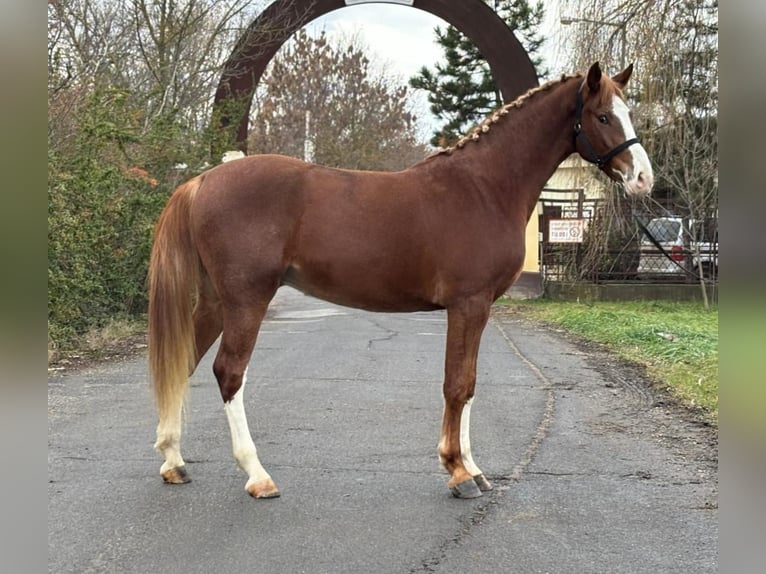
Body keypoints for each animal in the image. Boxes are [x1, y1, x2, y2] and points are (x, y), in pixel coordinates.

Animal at [148, 63, 656, 502]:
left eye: (629, 113)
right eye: (603, 116)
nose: (643, 178)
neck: (484, 188)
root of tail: (202, 181)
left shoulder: (478, 308)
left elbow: (470, 384)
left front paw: (472, 468)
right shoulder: (469, 304)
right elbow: (456, 384)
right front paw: (457, 472)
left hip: (215, 301)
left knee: (186, 362)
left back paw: (174, 462)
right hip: (246, 300)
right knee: (228, 373)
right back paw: (257, 476)